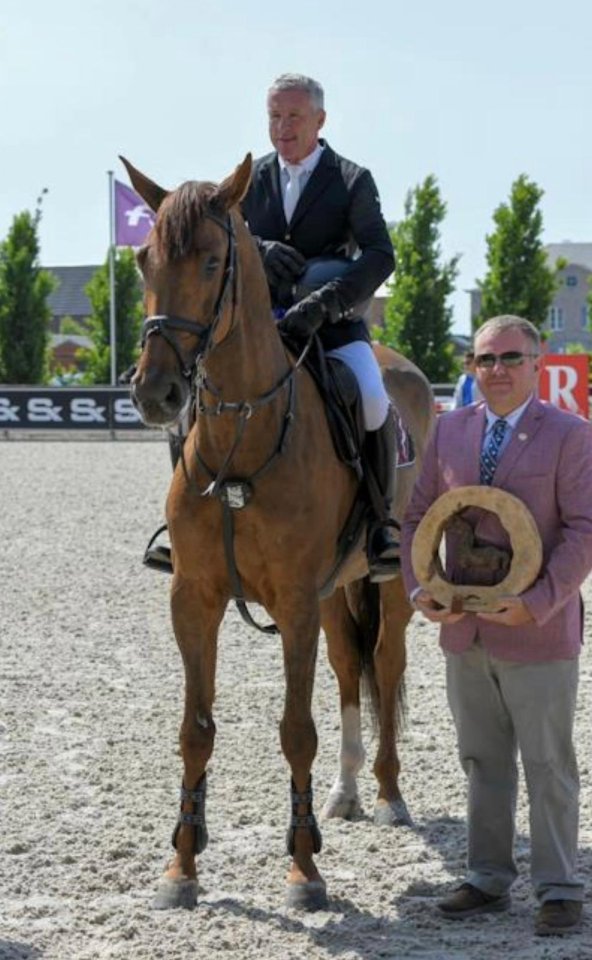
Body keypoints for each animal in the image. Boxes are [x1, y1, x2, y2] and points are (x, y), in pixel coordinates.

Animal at [123, 153, 435, 911]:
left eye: (212, 262)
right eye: (144, 260)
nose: (155, 392)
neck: (245, 434)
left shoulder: (293, 603)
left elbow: (297, 731)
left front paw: (304, 873)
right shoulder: (194, 600)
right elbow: (195, 730)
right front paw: (182, 866)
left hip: (387, 584)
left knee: (385, 661)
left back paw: (388, 796)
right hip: (335, 591)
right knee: (350, 668)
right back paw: (346, 794)